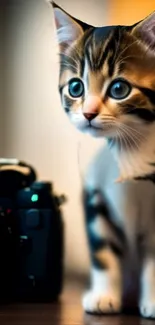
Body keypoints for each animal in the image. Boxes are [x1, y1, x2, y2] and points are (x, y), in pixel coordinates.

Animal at [51, 1, 155, 316]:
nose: (88, 113)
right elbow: (102, 248)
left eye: (119, 89)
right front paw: (103, 296)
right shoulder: (94, 192)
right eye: (76, 88)